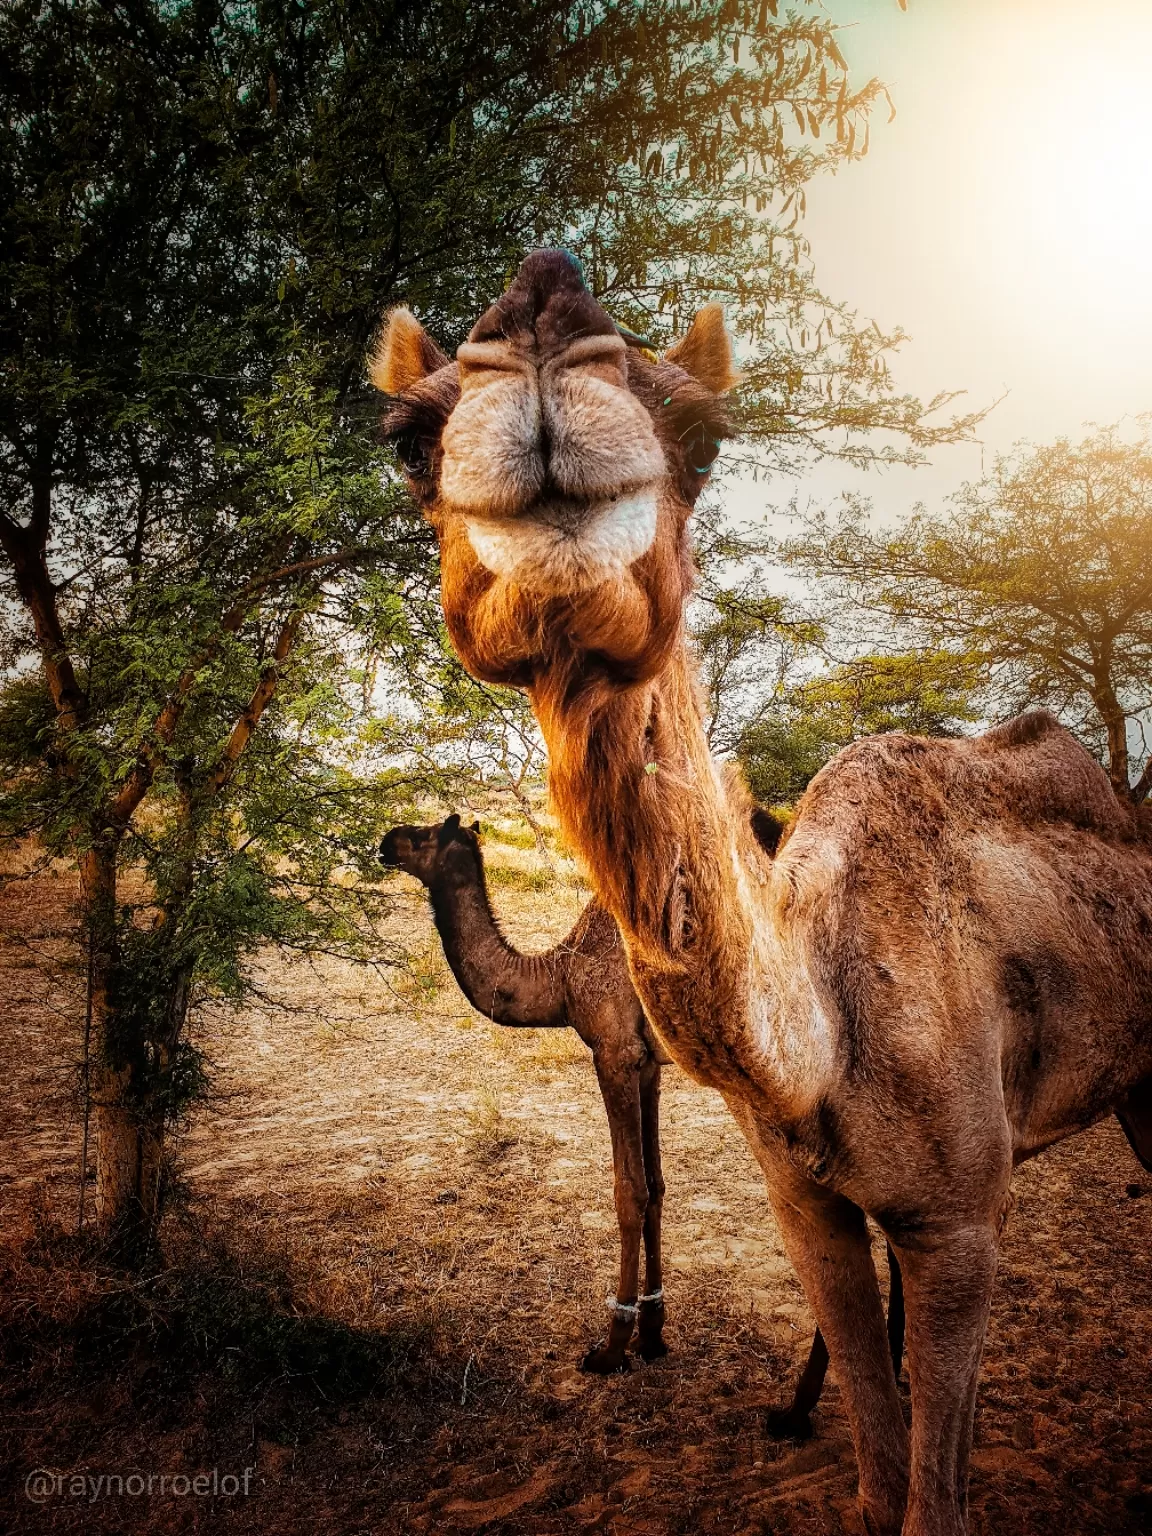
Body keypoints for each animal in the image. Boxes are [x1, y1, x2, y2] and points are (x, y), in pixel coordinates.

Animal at [380, 817, 909, 1413]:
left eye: (424, 835)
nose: (385, 843)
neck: (558, 977)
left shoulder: (612, 1050)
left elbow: (628, 1192)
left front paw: (611, 1347)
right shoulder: (649, 1063)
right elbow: (656, 1187)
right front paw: (653, 1334)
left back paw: (801, 1408)